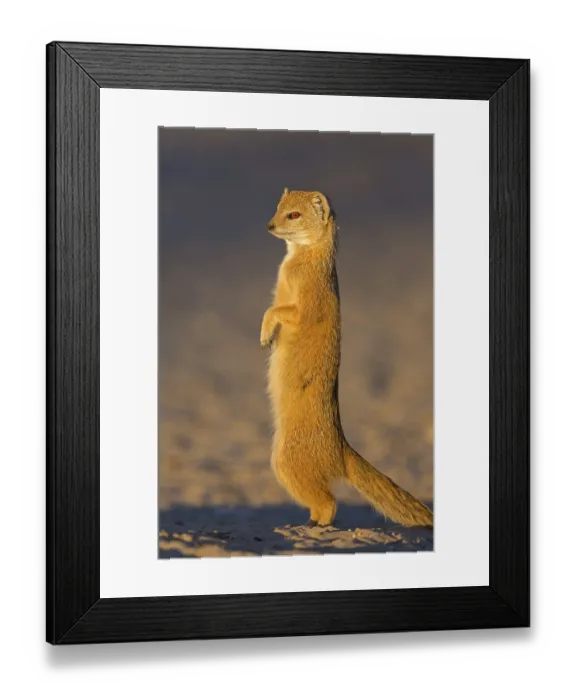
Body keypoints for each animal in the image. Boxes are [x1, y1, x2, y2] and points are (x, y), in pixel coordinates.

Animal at [260, 188, 433, 528]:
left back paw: (313, 525)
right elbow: (272, 308)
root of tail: (340, 447)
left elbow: (277, 311)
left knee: (328, 502)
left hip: (286, 460)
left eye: (294, 214)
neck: (295, 264)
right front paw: (268, 338)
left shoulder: (304, 306)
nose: (270, 226)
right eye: (278, 207)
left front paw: (264, 333)